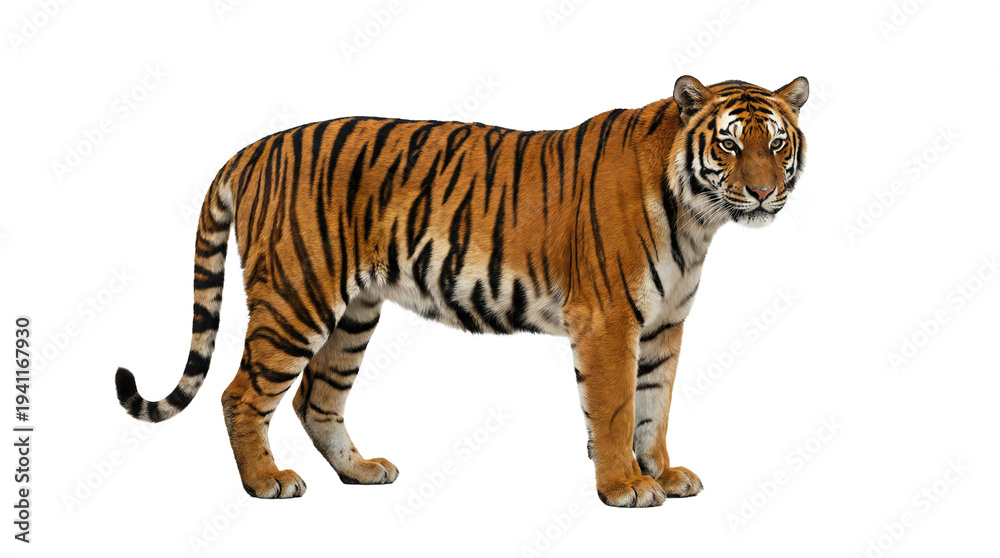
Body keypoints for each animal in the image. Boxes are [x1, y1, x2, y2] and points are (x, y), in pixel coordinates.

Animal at [115, 75, 808, 507]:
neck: (698, 219)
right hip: (296, 297)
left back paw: (361, 472)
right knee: (241, 394)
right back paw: (266, 483)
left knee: (316, 399)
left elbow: (653, 406)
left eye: (777, 144)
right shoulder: (610, 321)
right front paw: (624, 486)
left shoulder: (664, 325)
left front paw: (662, 473)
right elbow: (614, 409)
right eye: (729, 144)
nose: (764, 192)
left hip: (353, 314)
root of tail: (254, 148)